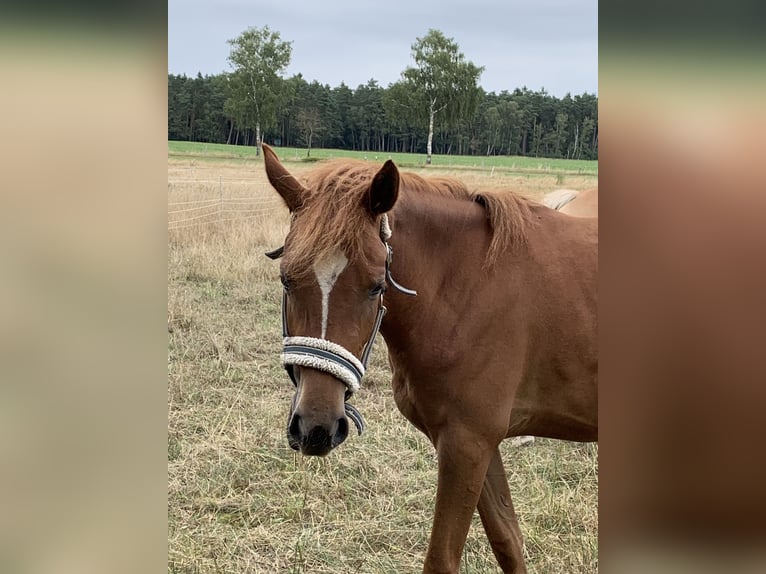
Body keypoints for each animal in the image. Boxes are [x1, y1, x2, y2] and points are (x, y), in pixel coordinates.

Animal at [260, 145, 596, 574]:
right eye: (287, 279)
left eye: (376, 287)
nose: (316, 428)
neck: (469, 283)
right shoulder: (473, 443)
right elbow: (508, 540)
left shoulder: (467, 443)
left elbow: (442, 558)